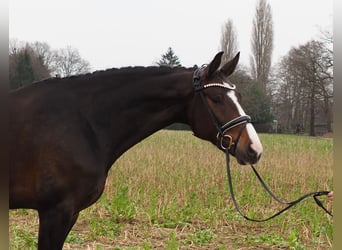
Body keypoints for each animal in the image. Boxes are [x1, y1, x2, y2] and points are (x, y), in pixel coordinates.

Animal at [10, 51, 262, 249]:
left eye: (239, 96)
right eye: (216, 98)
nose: (254, 148)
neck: (82, 122)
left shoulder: (70, 213)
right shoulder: (55, 212)